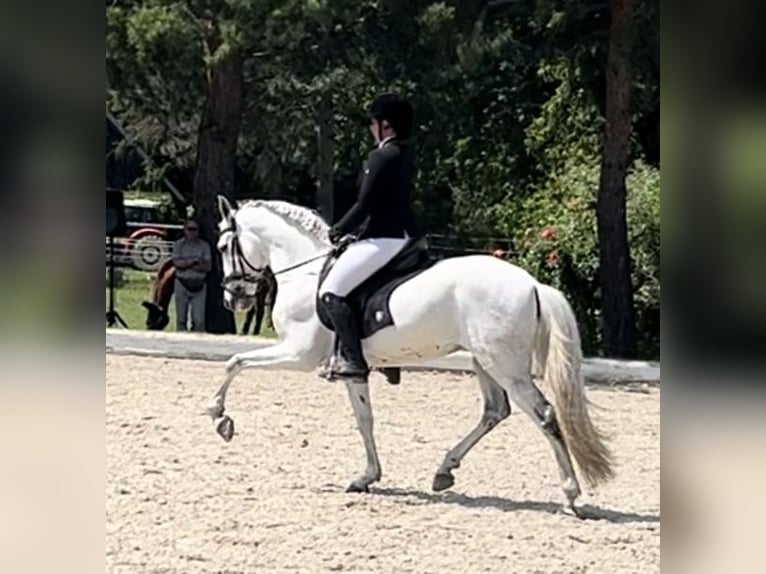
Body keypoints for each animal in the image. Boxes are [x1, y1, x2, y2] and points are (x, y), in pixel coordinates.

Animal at [207, 197, 616, 512]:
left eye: (223, 248)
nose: (232, 298)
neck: (306, 271)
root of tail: (532, 283)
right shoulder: (352, 368)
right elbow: (365, 420)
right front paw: (366, 477)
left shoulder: (298, 353)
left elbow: (235, 362)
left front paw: (219, 415)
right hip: (484, 361)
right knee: (494, 411)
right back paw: (444, 470)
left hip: (506, 367)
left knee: (543, 414)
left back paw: (570, 495)